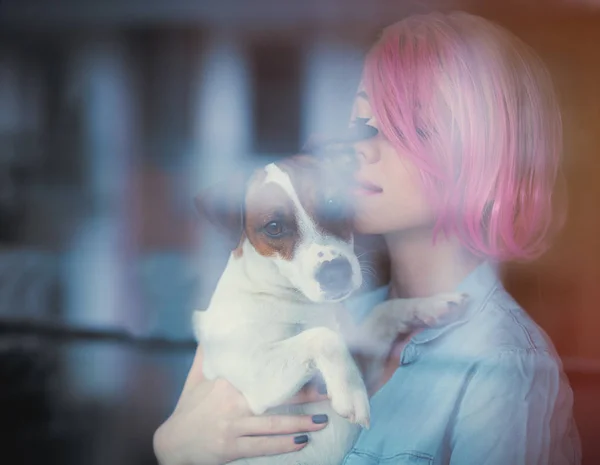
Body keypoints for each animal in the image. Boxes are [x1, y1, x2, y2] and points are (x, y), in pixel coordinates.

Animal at [192, 154, 464, 462]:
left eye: (333, 204)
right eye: (274, 227)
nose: (336, 272)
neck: (301, 302)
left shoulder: (367, 363)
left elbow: (384, 311)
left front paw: (432, 304)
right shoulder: (250, 368)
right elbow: (324, 337)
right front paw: (351, 393)